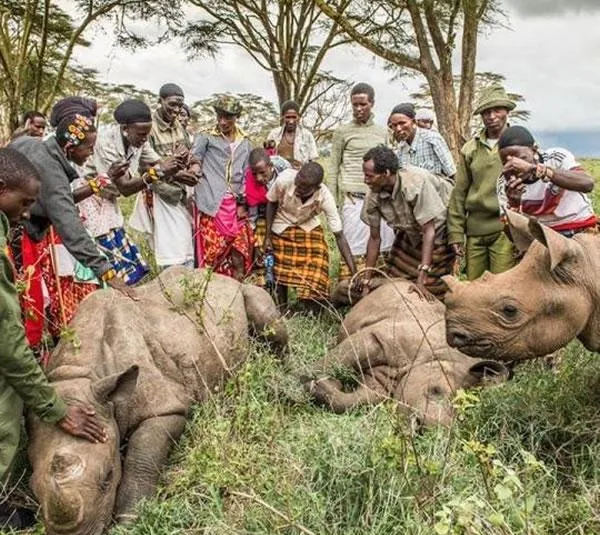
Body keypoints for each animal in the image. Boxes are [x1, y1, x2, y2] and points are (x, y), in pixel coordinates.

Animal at [27, 268, 288, 535]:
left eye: (108, 477)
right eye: (33, 489)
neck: (81, 373)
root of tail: (221, 276)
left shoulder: (164, 409)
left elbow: (142, 456)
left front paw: (128, 522)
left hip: (243, 292)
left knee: (268, 319)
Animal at [304, 278, 506, 426]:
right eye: (435, 390)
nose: (428, 428)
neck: (438, 357)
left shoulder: (385, 379)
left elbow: (359, 399)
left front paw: (325, 386)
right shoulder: (377, 337)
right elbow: (334, 360)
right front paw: (304, 384)